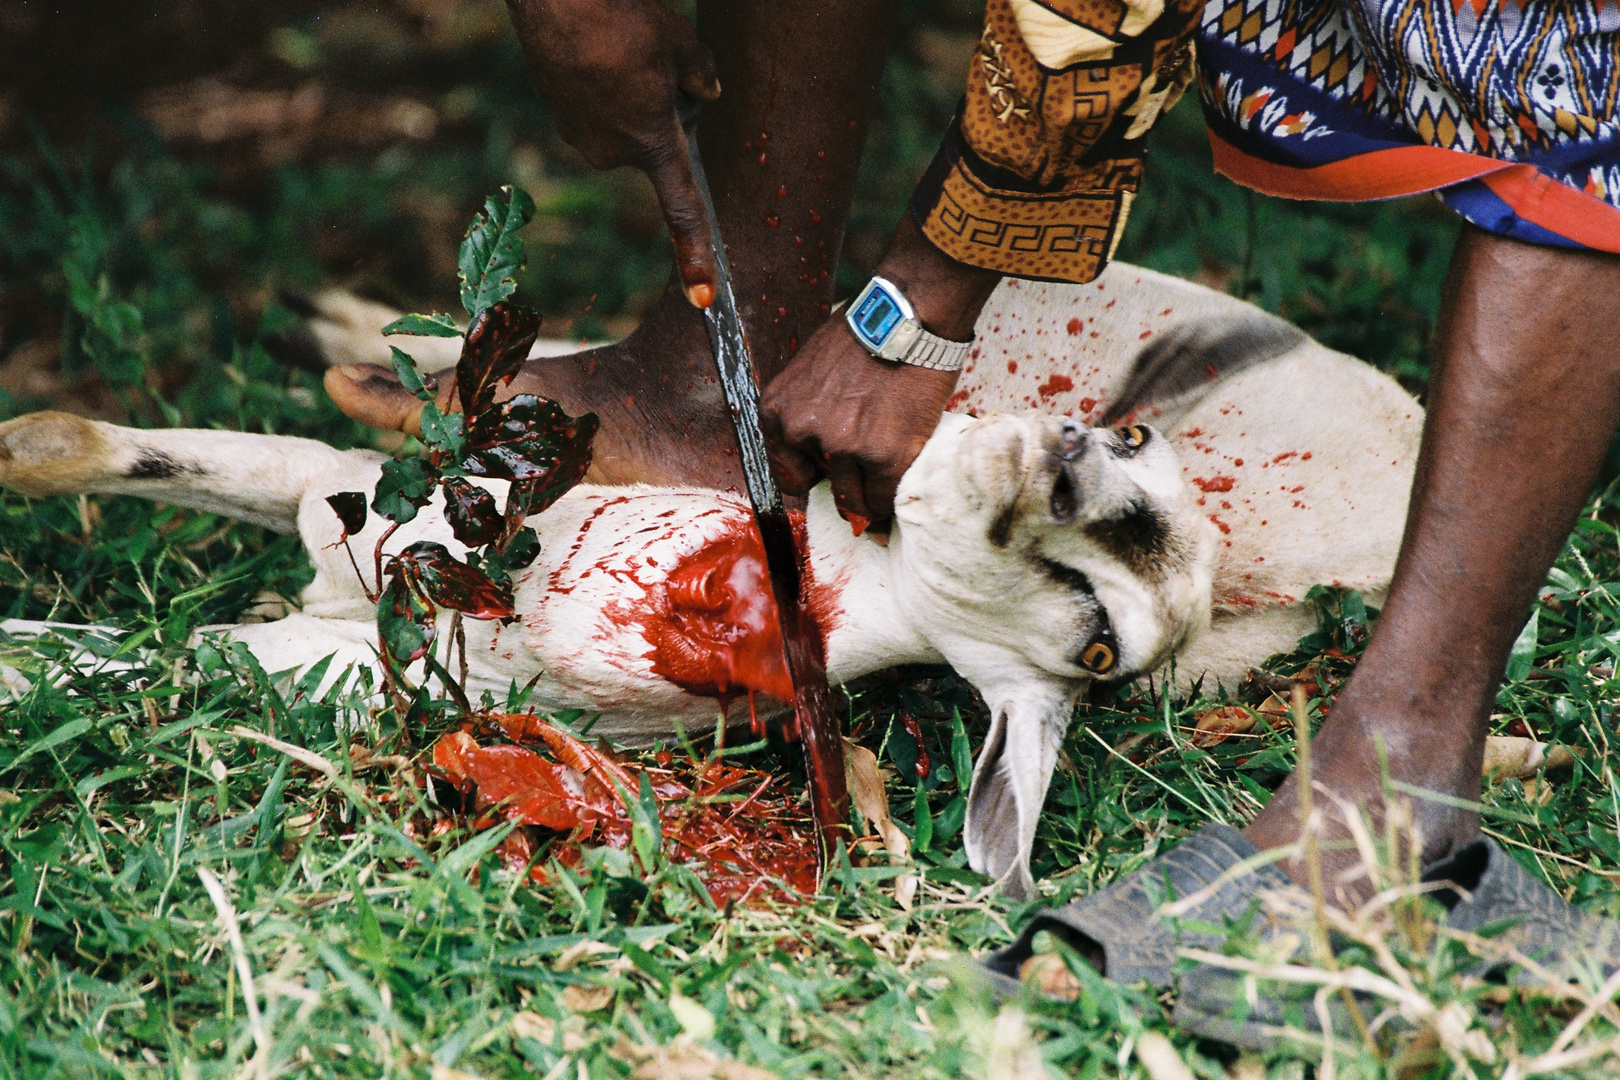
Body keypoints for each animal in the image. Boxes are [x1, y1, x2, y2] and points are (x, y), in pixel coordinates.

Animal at [0, 263, 1419, 893]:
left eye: (1098, 649)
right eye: (1130, 444)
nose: (1067, 461)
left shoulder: (364, 669)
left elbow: (108, 662)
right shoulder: (344, 500)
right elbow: (117, 447)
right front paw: (23, 443)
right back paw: (359, 330)